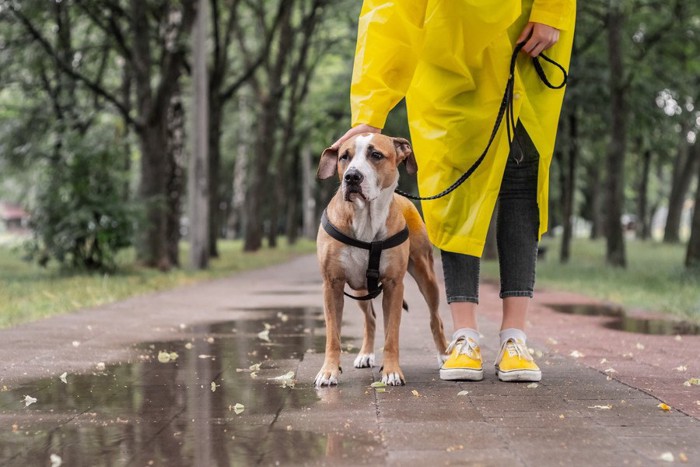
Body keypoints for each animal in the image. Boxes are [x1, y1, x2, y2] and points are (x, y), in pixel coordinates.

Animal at [314, 134, 446, 388]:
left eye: (376, 155)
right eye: (344, 156)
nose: (352, 177)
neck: (365, 218)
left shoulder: (394, 285)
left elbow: (392, 334)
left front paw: (392, 371)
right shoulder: (331, 284)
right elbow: (333, 335)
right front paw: (328, 371)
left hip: (427, 276)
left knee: (436, 318)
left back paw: (445, 356)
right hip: (360, 289)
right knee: (371, 319)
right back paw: (365, 354)